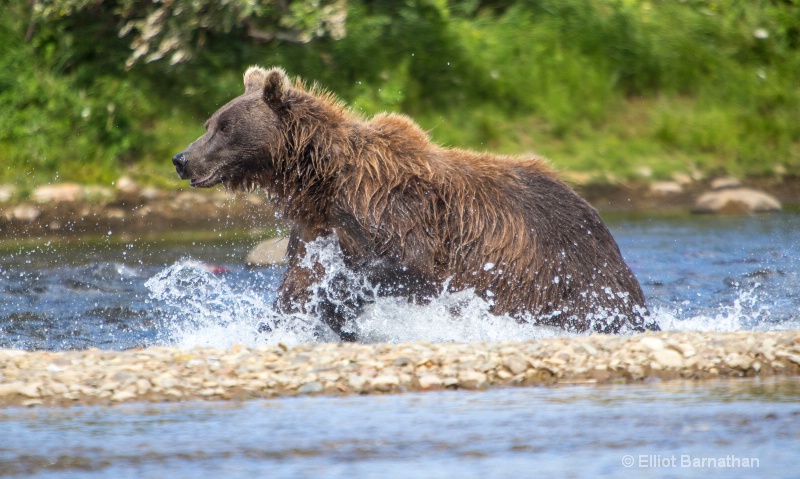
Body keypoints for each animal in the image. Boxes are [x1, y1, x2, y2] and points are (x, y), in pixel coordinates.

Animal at [172, 65, 652, 340]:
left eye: (225, 126)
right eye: (209, 122)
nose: (182, 158)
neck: (321, 181)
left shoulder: (399, 217)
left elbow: (399, 269)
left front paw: (338, 306)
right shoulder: (315, 230)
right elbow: (299, 284)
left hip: (559, 267)